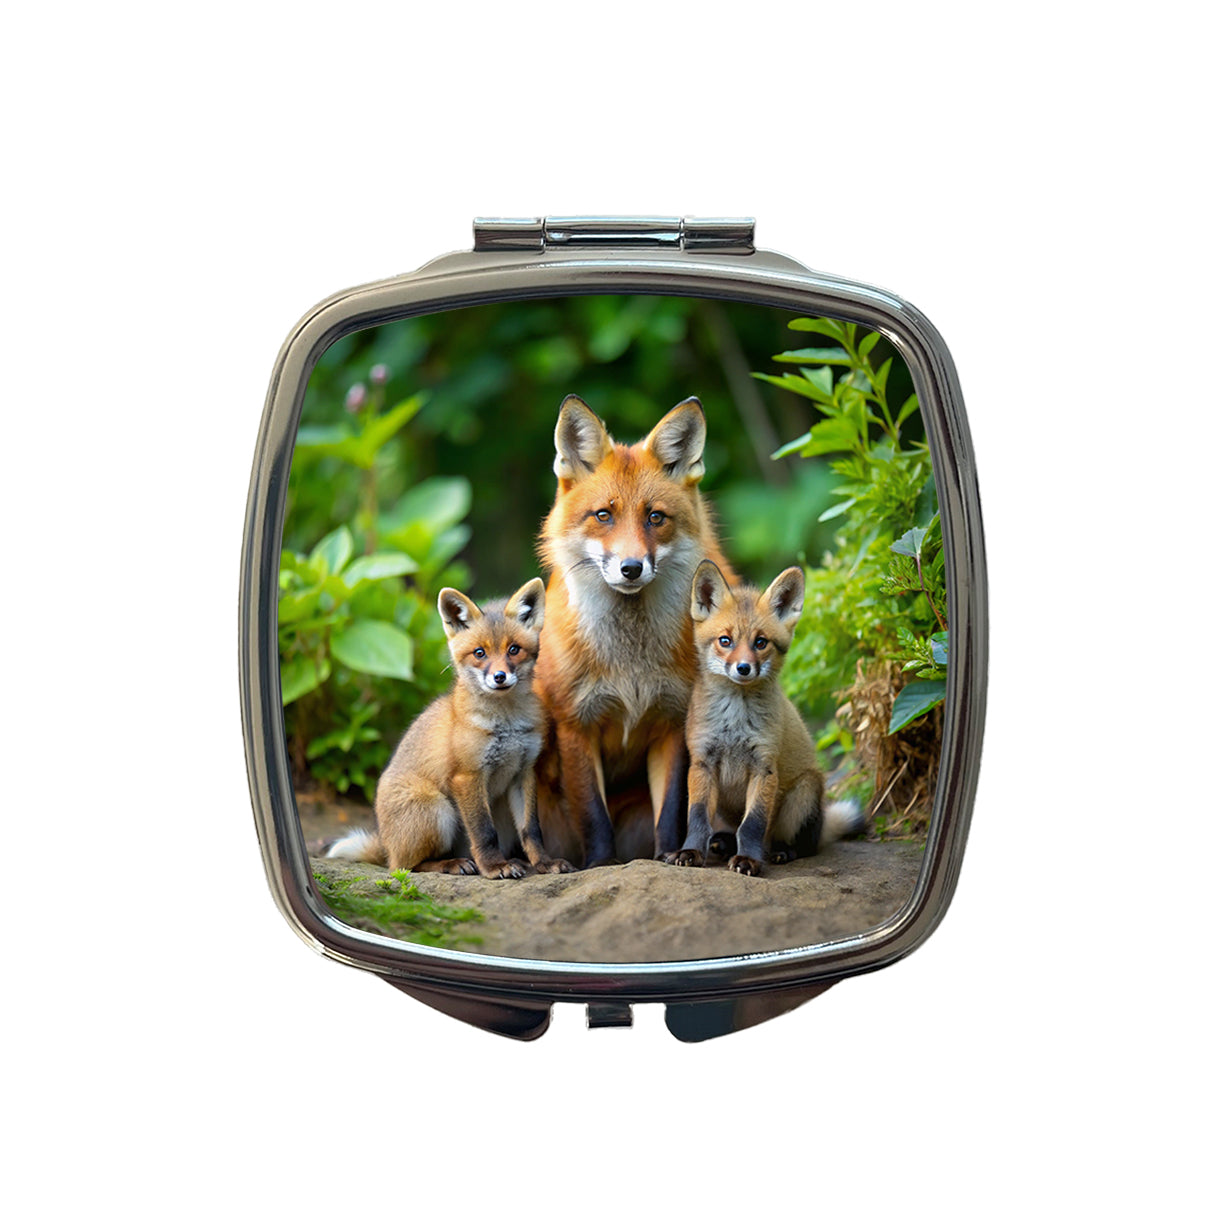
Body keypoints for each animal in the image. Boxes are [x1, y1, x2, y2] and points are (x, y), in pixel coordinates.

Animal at [326, 577, 573, 878]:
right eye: (479, 653)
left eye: (513, 649)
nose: (499, 677)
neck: (507, 724)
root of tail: (386, 843)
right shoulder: (468, 775)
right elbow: (483, 832)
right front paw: (494, 867)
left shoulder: (523, 772)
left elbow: (532, 830)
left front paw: (543, 863)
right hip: (438, 810)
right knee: (406, 867)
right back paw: (454, 863)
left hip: (498, 811)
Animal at [534, 394, 737, 867]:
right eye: (603, 515)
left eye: (655, 517)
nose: (631, 568)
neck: (631, 663)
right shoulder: (576, 724)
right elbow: (593, 814)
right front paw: (600, 865)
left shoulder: (673, 722)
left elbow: (672, 808)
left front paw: (670, 856)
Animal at [668, 559, 866, 876]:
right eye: (725, 640)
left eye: (761, 643)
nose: (743, 668)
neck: (734, 722)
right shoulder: (702, 762)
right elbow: (697, 819)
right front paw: (690, 852)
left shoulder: (764, 766)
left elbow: (753, 824)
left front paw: (748, 860)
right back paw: (724, 844)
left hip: (804, 791)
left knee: (800, 845)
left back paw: (780, 852)